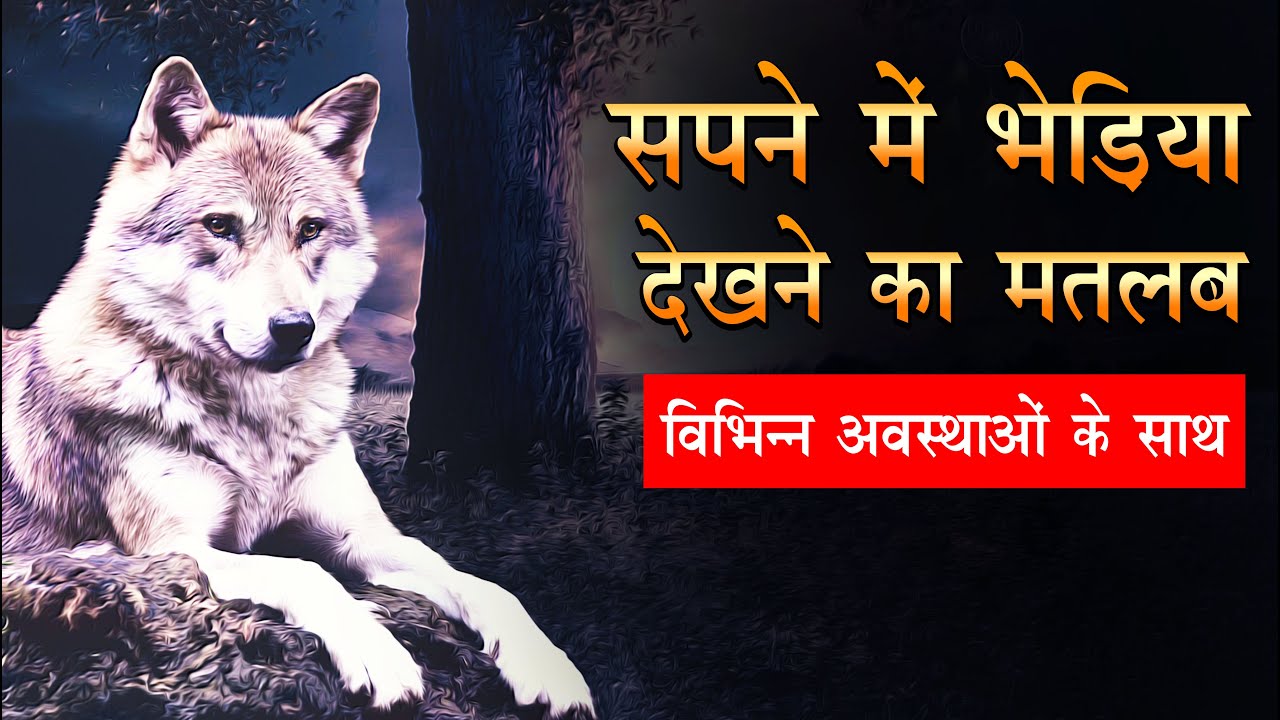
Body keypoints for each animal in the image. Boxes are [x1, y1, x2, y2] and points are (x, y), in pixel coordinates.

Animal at [1, 57, 595, 717]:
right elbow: (304, 572)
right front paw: (380, 652)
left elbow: (485, 585)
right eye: (219, 226)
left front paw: (548, 665)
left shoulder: (357, 535)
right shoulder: (171, 548)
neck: (255, 420)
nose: (294, 328)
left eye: (310, 229)